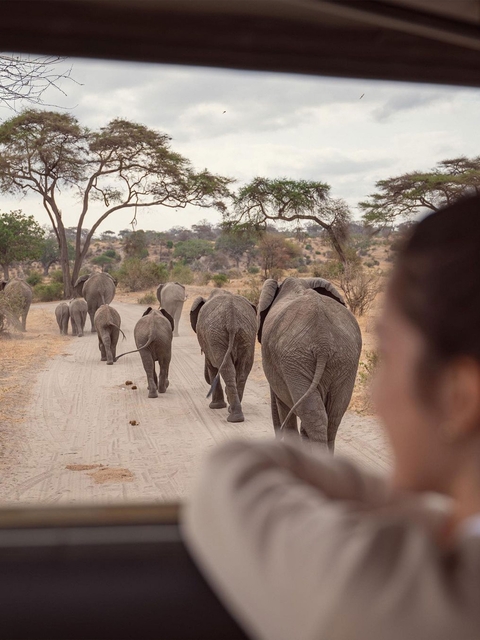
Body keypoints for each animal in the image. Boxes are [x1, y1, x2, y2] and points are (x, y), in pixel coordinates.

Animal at [190, 290, 257, 423]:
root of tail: (232, 319)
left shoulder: (209, 343)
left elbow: (211, 367)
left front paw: (215, 406)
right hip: (246, 334)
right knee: (242, 370)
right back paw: (235, 414)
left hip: (217, 335)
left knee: (226, 369)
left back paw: (233, 417)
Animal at [258, 277, 362, 451]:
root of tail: (323, 342)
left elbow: (283, 403)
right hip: (343, 359)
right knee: (333, 414)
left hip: (296, 359)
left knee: (314, 413)